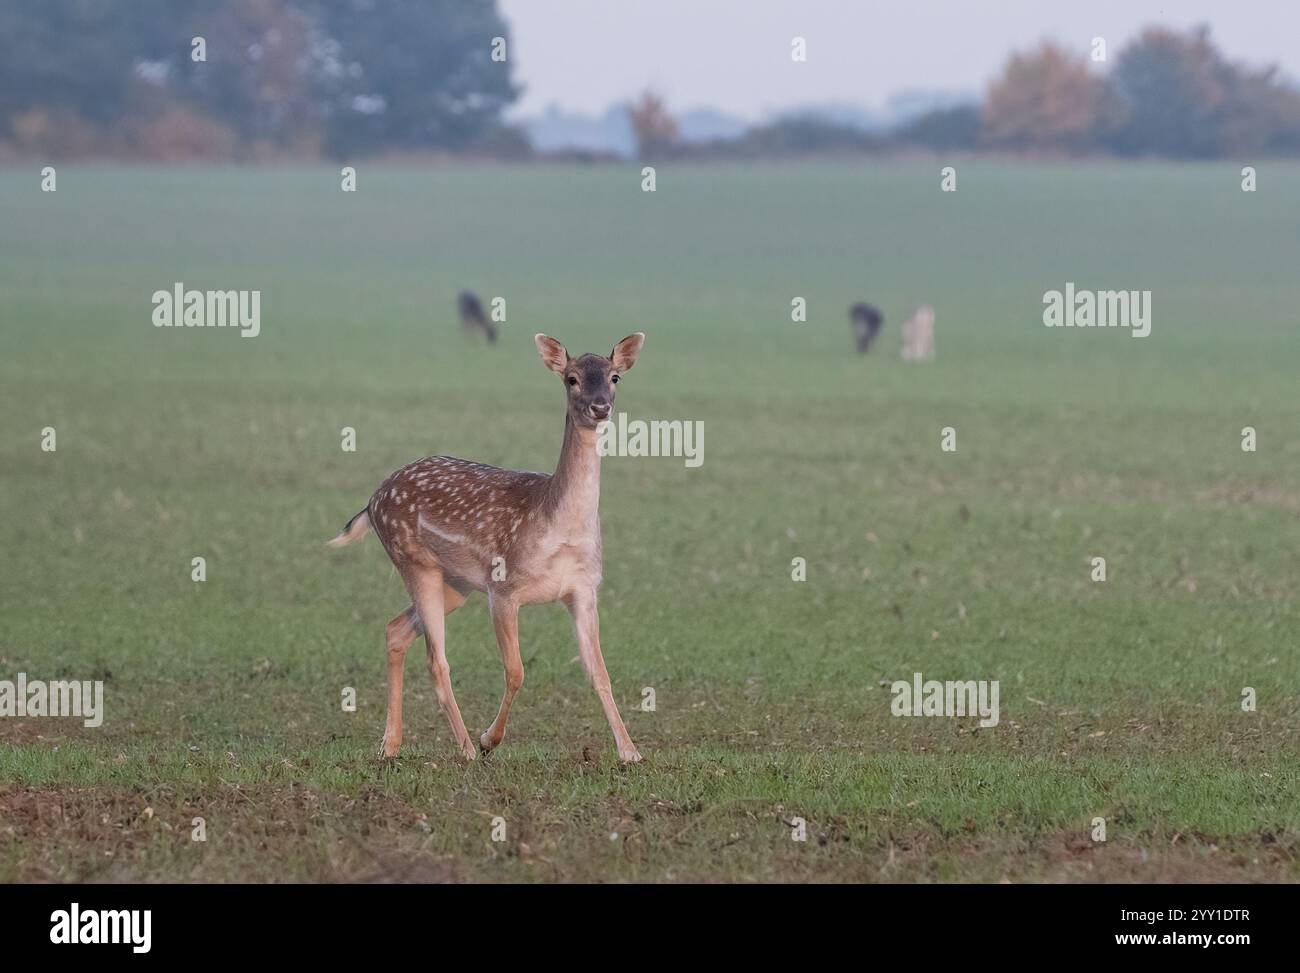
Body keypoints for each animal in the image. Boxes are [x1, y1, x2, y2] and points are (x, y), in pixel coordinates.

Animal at [330, 335, 644, 770]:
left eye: (615, 377)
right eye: (571, 378)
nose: (600, 407)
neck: (557, 529)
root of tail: (371, 502)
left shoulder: (584, 589)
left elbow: (600, 672)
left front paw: (630, 752)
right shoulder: (503, 588)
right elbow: (515, 671)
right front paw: (488, 740)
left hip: (457, 585)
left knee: (395, 630)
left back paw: (389, 745)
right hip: (413, 560)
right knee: (436, 659)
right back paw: (464, 747)